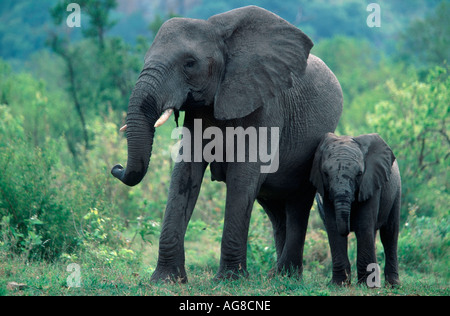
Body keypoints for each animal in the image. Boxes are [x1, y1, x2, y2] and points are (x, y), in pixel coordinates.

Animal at [110, 5, 342, 282]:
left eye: (190, 63)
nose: (116, 167)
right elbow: (185, 174)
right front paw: (166, 280)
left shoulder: (264, 104)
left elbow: (242, 176)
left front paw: (231, 279)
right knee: (276, 209)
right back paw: (277, 276)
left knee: (298, 204)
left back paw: (286, 276)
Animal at [310, 133, 400, 286]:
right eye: (325, 173)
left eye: (359, 174)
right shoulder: (326, 193)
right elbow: (333, 228)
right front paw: (339, 284)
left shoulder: (370, 183)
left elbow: (363, 226)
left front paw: (366, 286)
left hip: (396, 191)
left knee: (389, 233)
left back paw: (393, 285)